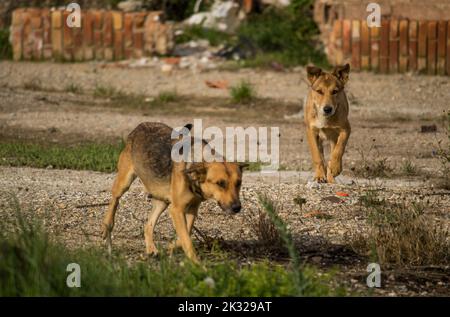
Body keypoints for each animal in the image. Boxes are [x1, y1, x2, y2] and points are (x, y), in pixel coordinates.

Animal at [101, 121, 244, 262]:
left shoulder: (192, 209)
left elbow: (185, 236)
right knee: (114, 200)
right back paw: (107, 226)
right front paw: (196, 264)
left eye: (239, 183)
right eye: (220, 183)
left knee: (148, 225)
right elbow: (186, 240)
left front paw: (170, 247)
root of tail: (141, 125)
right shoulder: (176, 210)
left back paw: (151, 249)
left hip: (162, 202)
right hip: (124, 182)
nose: (237, 207)